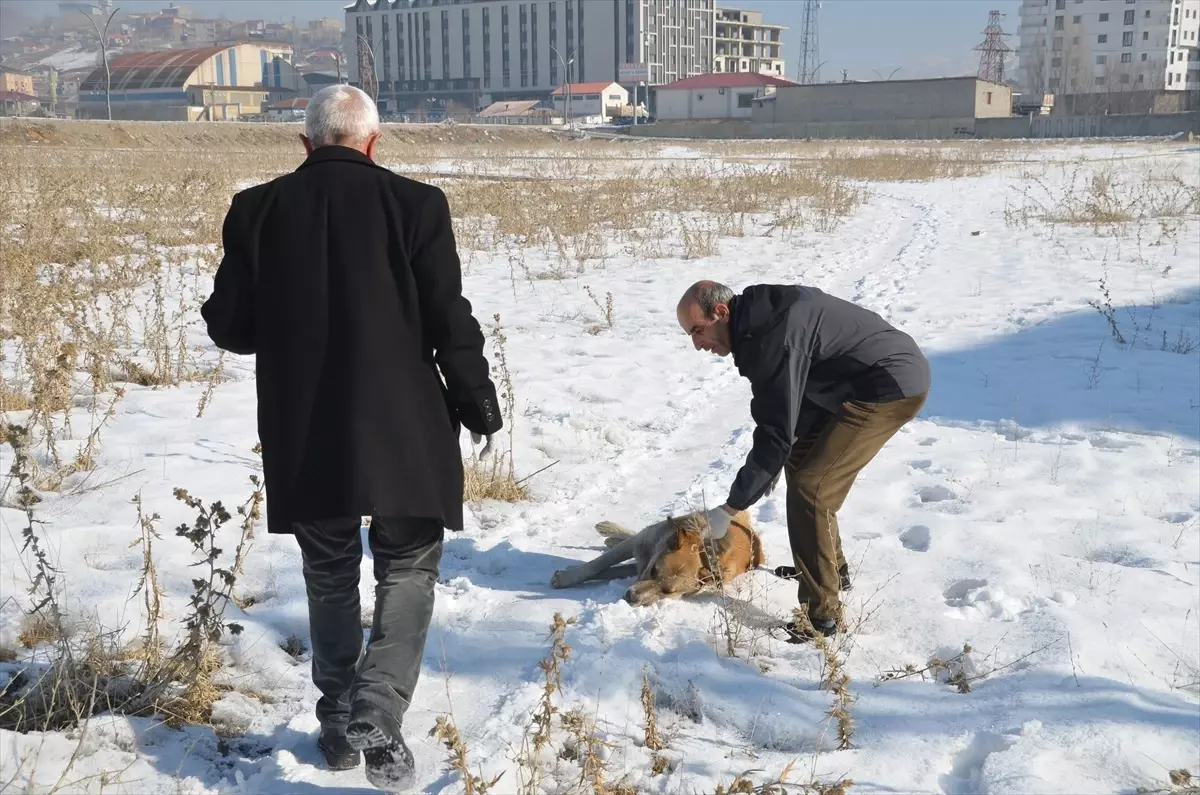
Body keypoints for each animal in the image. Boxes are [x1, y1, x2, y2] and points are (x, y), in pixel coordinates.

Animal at [549, 513, 763, 607]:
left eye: (667, 592)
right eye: (653, 571)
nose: (631, 597)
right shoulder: (642, 543)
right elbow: (598, 564)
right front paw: (566, 577)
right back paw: (610, 531)